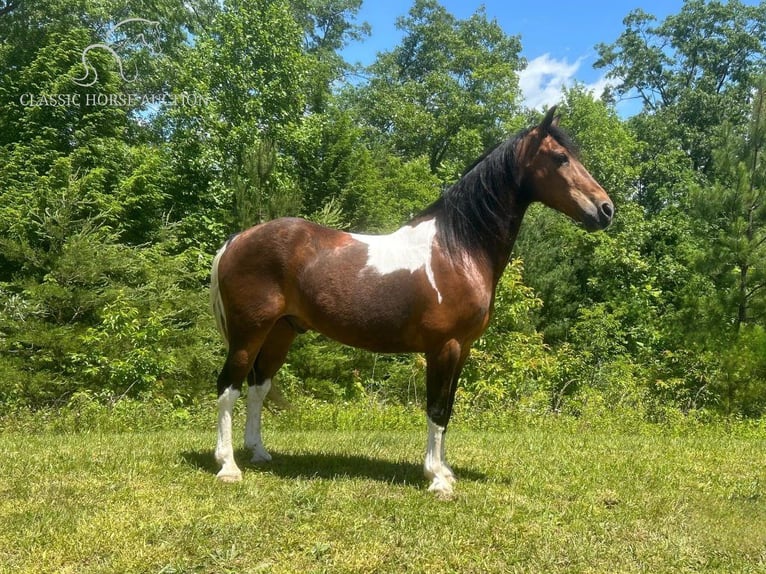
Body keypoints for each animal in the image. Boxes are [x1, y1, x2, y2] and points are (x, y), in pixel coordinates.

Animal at [208, 107, 612, 500]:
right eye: (560, 158)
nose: (606, 209)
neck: (456, 249)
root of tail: (236, 240)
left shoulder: (462, 349)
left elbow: (447, 409)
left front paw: (444, 470)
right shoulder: (444, 347)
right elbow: (436, 408)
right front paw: (437, 479)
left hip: (280, 332)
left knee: (257, 387)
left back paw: (259, 453)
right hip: (248, 333)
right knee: (228, 388)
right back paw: (228, 467)